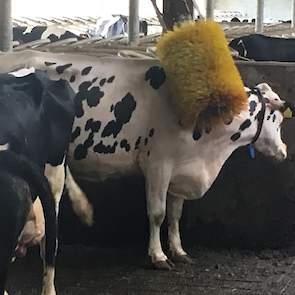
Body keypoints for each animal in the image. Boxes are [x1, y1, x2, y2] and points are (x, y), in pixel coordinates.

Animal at [0, 51, 292, 280]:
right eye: (276, 120)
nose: (284, 152)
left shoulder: (181, 168)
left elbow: (175, 215)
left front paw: (179, 250)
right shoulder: (158, 164)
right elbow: (158, 213)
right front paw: (158, 256)